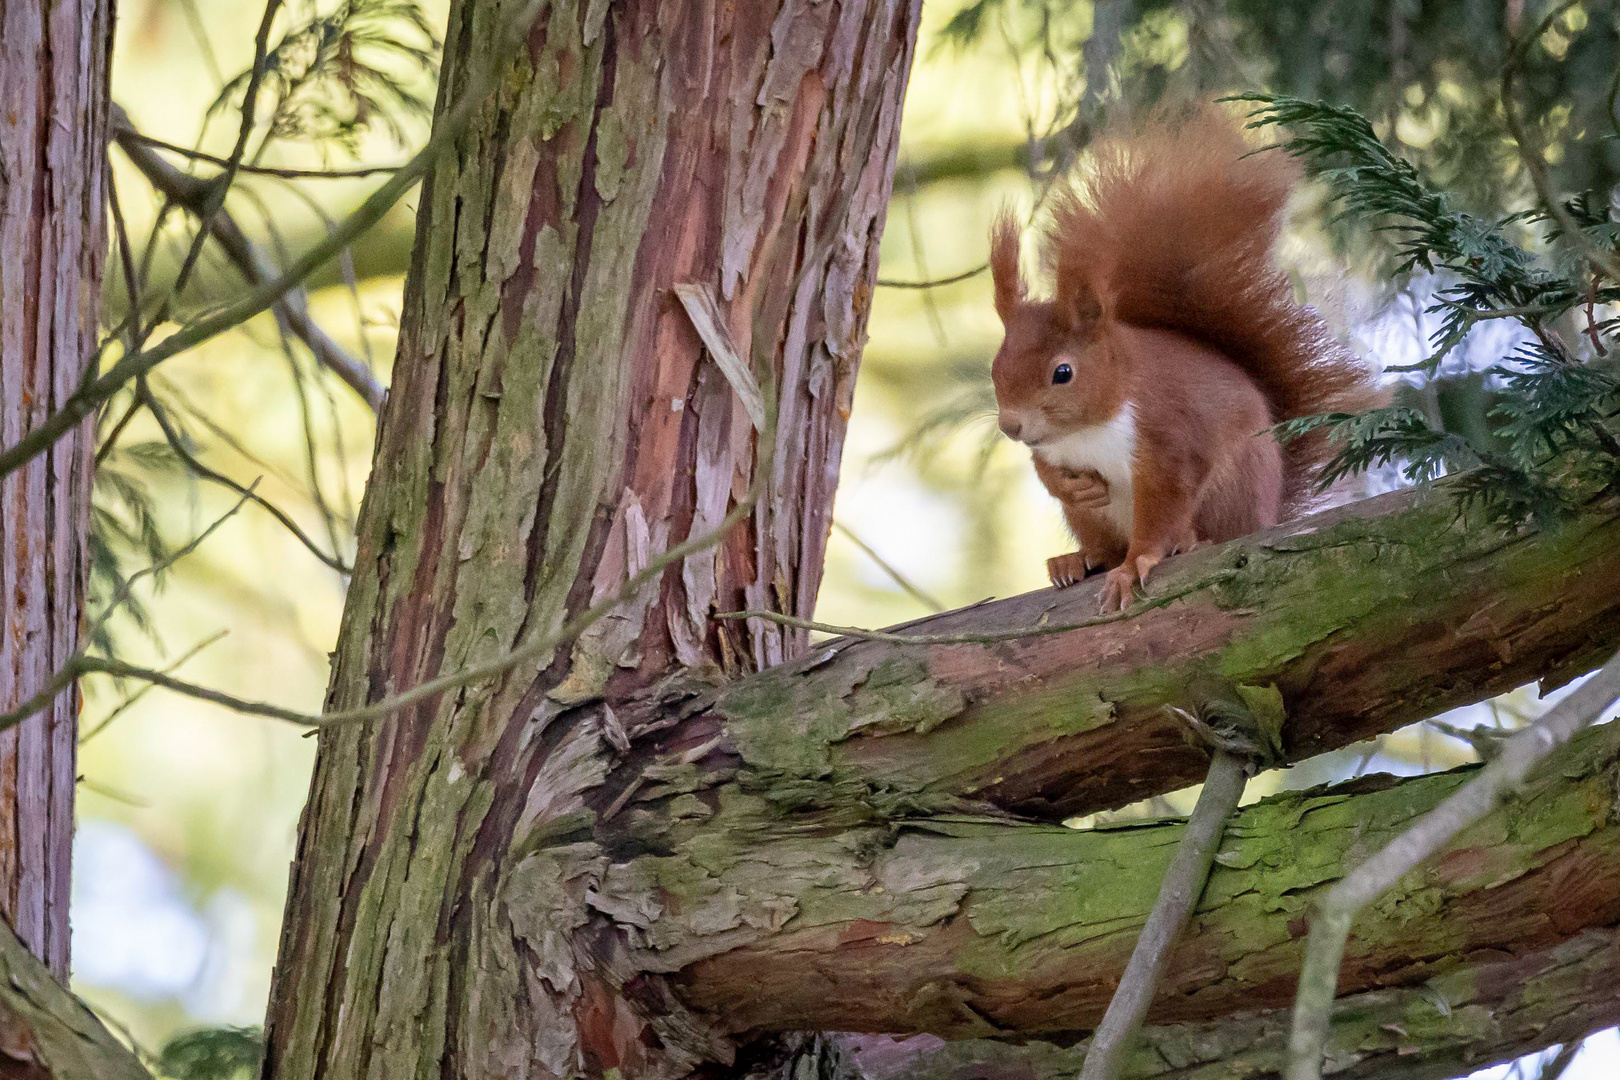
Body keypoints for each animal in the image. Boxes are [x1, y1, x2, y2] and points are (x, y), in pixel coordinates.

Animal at [984, 105, 1380, 612]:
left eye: (1063, 373)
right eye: (995, 368)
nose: (1010, 426)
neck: (1086, 430)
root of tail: (1269, 515)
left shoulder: (1169, 438)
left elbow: (1164, 505)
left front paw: (1135, 566)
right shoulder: (1050, 449)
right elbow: (1046, 471)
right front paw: (1074, 485)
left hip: (1233, 488)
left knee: (1207, 530)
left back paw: (1188, 542)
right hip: (1091, 520)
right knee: (1101, 546)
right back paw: (1077, 560)